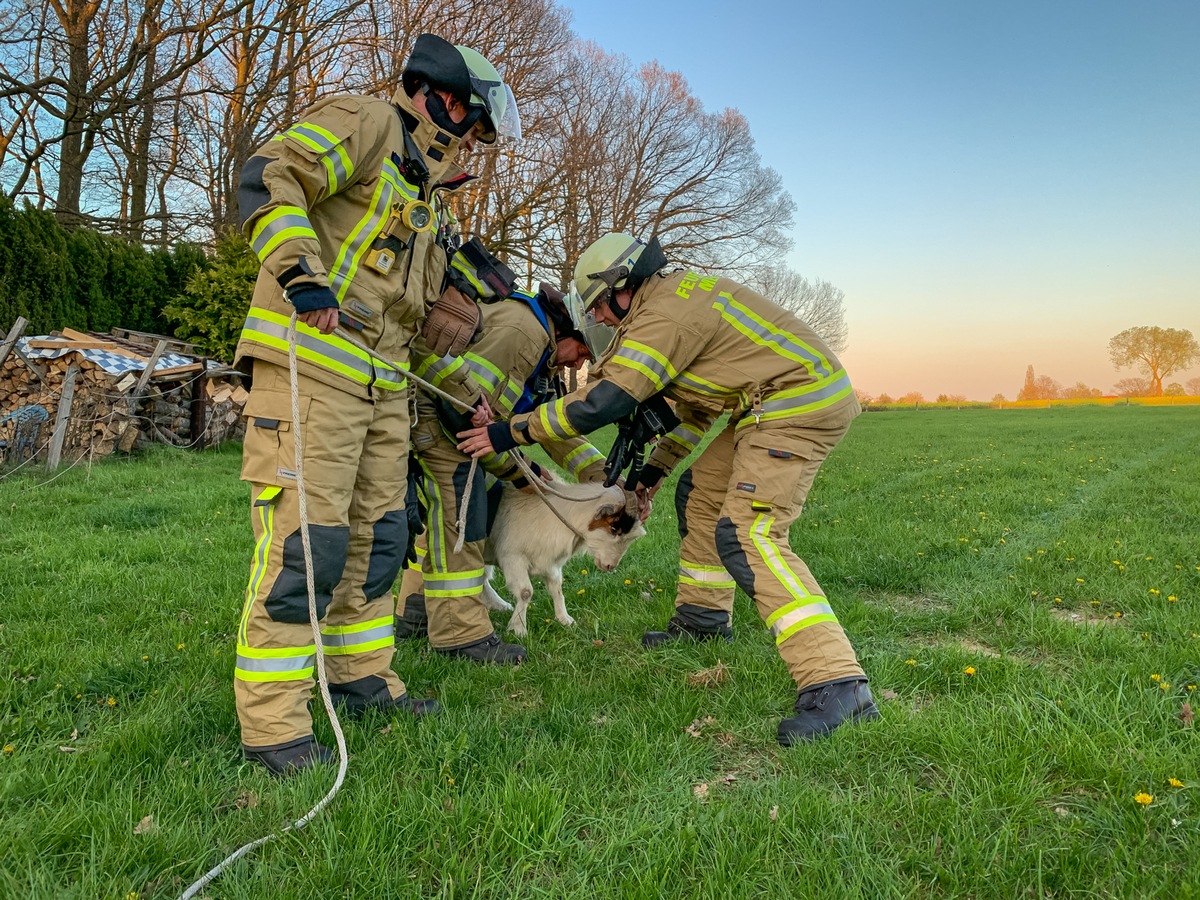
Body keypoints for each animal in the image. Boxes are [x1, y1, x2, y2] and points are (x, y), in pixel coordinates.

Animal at [477, 482, 648, 638]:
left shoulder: (551, 564)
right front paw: (518, 629)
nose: (610, 565)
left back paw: (499, 606)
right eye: (614, 528)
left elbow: (557, 589)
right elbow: (525, 592)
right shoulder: (513, 558)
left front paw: (565, 620)